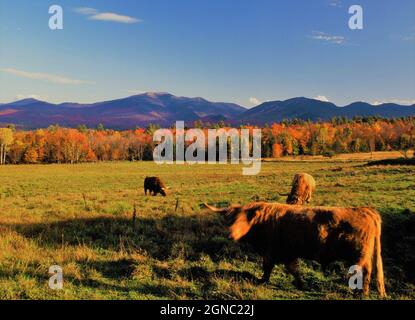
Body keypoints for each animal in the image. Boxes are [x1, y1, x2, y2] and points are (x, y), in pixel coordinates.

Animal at [205, 202, 386, 298]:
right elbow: (293, 269)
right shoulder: (288, 252)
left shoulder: (271, 251)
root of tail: (367, 210)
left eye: (244, 221)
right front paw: (301, 284)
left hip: (360, 255)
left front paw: (262, 281)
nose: (230, 234)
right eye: (231, 220)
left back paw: (362, 293)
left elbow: (268, 267)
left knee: (365, 272)